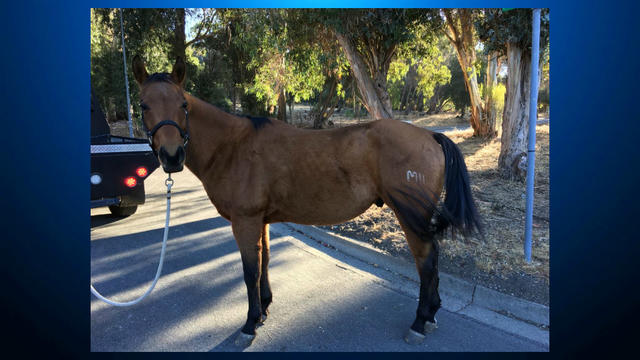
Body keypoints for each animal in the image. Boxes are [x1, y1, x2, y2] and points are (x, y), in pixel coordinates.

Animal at [130, 56, 480, 346]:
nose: (172, 156)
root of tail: (430, 136)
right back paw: (430, 315)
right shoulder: (260, 221)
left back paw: (420, 322)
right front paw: (264, 309)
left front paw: (249, 323)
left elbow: (249, 271)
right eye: (144, 105)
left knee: (426, 262)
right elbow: (265, 263)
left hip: (411, 217)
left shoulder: (245, 222)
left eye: (183, 104)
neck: (232, 147)